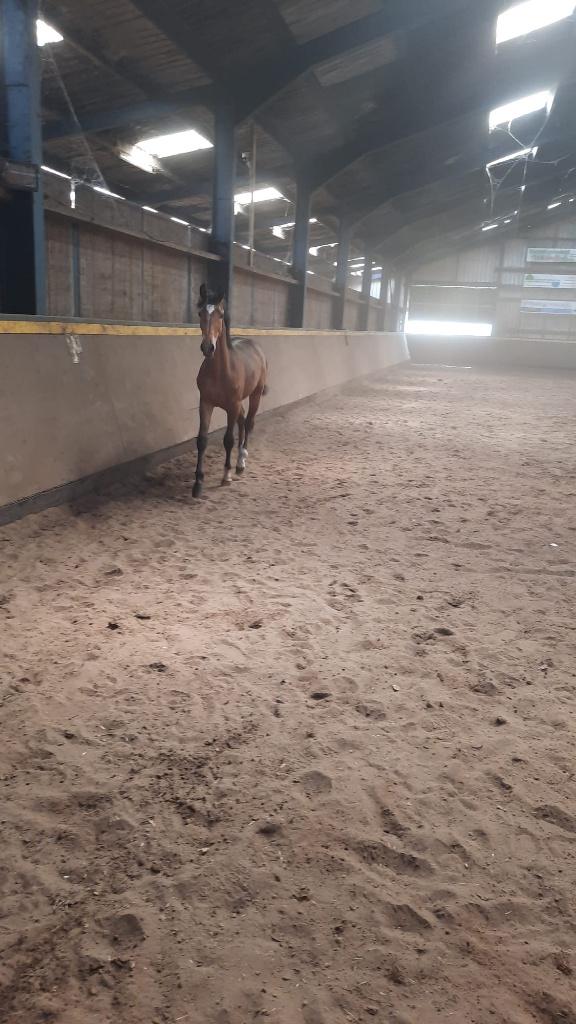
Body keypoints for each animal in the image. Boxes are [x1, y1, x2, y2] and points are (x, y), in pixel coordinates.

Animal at [193, 285, 268, 498]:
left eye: (220, 314)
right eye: (200, 313)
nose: (208, 347)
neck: (220, 372)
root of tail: (255, 345)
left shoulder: (232, 406)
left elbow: (228, 440)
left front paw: (226, 476)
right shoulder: (206, 403)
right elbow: (202, 440)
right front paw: (198, 483)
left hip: (254, 395)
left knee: (248, 423)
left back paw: (241, 461)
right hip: (238, 403)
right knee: (242, 422)